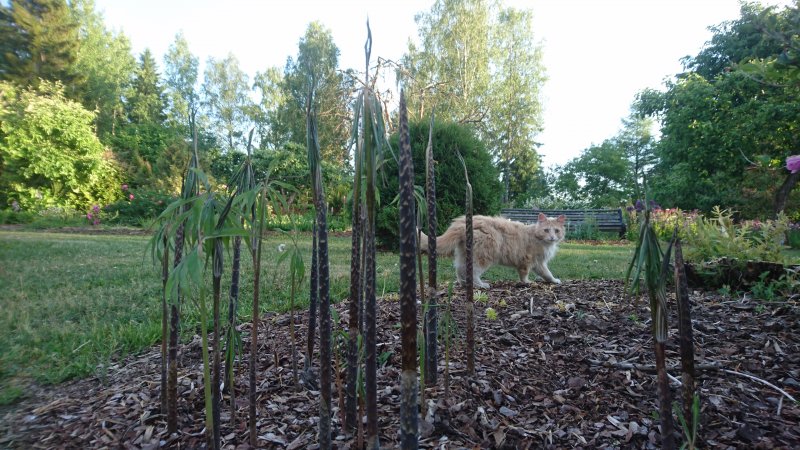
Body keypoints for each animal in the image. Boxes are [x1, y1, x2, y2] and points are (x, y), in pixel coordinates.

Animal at [422, 212, 564, 288]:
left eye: (556, 231)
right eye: (546, 230)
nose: (552, 237)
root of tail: (462, 221)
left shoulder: (539, 263)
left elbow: (547, 274)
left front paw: (554, 281)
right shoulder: (527, 261)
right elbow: (525, 275)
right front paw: (526, 282)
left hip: (464, 254)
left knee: (460, 270)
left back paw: (464, 284)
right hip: (483, 256)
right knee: (471, 272)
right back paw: (481, 285)